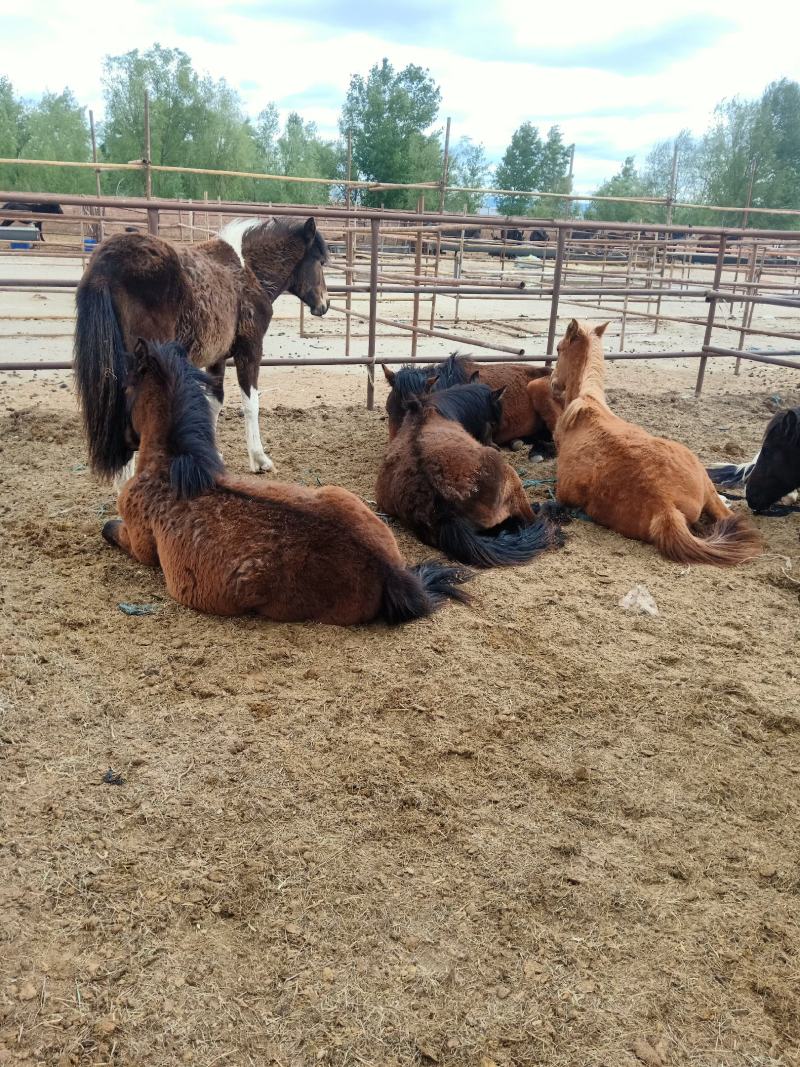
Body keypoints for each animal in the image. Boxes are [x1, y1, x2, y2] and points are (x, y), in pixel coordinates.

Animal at [74, 215, 330, 483]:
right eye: (320, 261)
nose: (325, 304)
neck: (248, 271)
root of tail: (106, 267)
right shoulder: (250, 349)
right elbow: (251, 403)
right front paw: (260, 460)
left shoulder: (217, 357)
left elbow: (214, 402)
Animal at [101, 340, 472, 626]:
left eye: (126, 388)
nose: (120, 442)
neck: (171, 471)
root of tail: (392, 571)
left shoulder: (138, 542)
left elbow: (108, 528)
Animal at [375, 383, 564, 568]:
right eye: (493, 423)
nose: (496, 446)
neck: (431, 411)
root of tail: (444, 511)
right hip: (512, 479)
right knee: (533, 520)